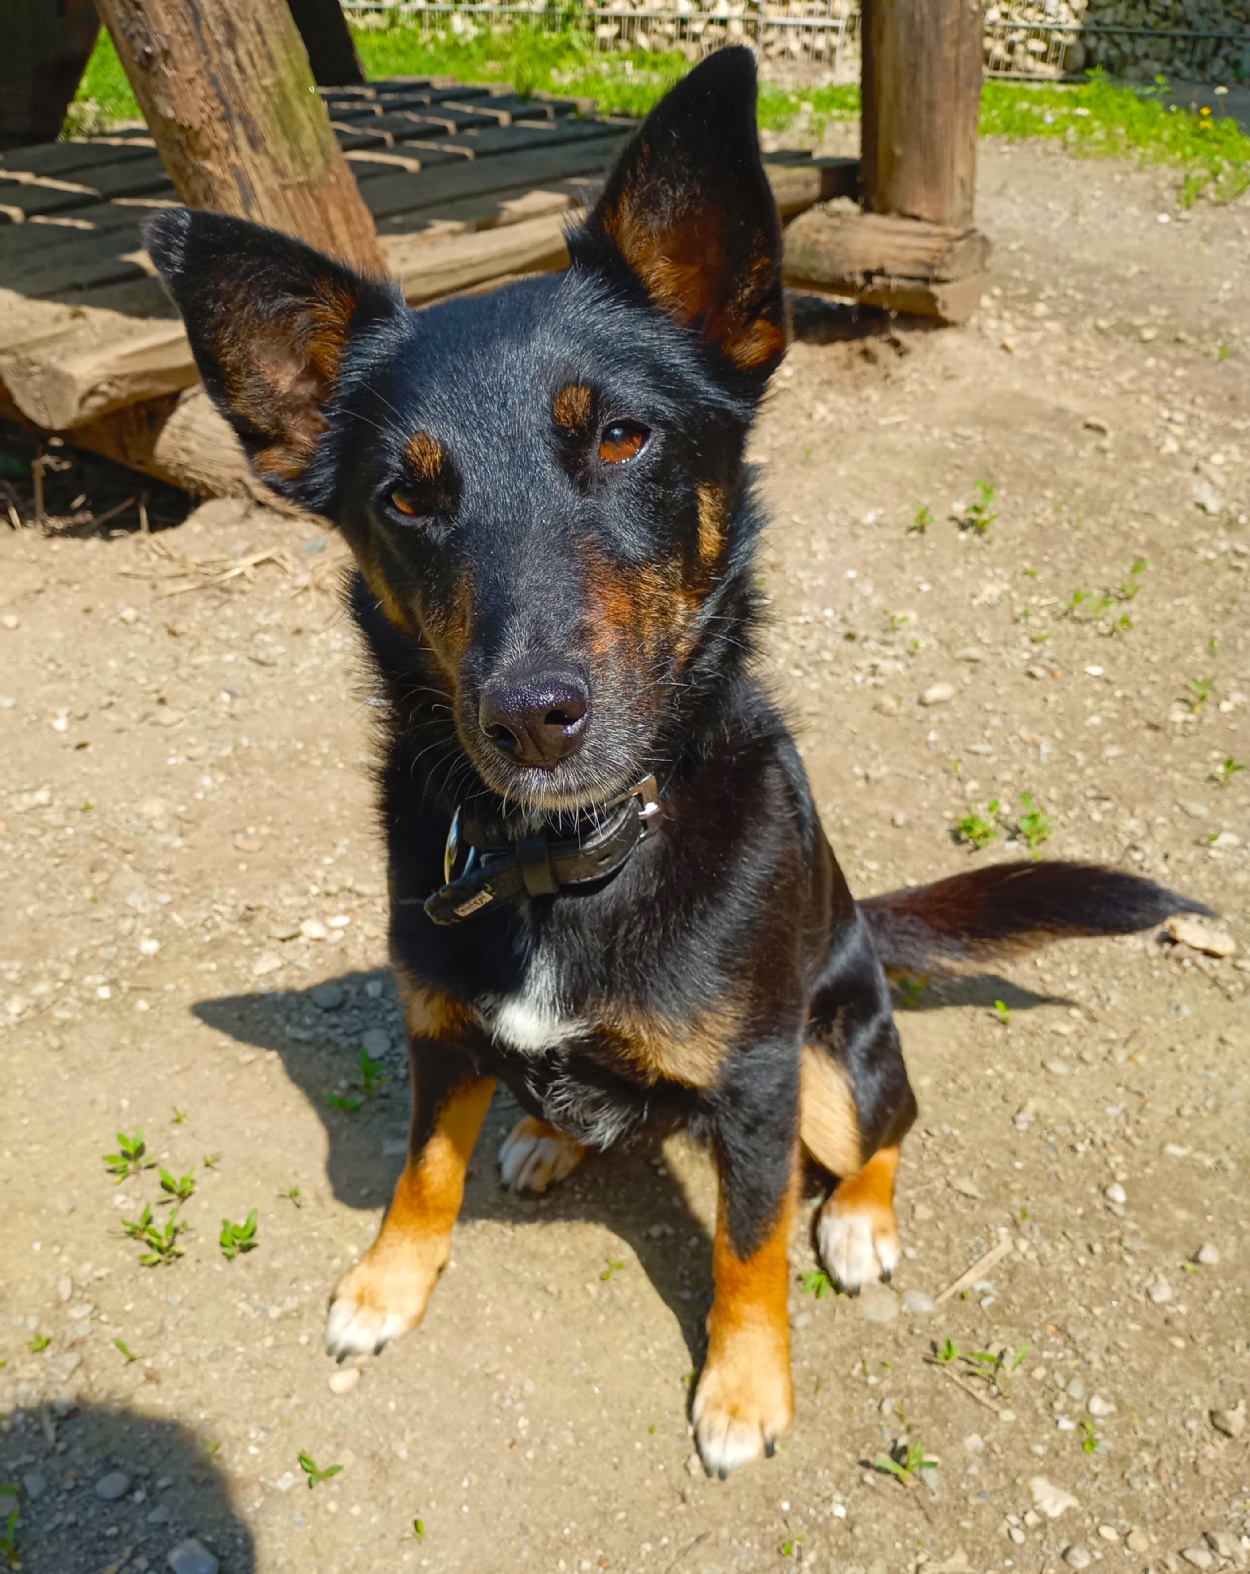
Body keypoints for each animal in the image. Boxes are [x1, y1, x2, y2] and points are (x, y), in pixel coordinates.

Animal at [145, 48, 1209, 1477]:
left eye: (620, 438)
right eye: (403, 495)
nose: (531, 716)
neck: (568, 857)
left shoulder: (756, 1084)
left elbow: (747, 1242)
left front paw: (744, 1387)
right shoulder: (438, 1024)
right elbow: (422, 1167)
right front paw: (386, 1282)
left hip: (833, 1055)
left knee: (883, 1128)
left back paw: (856, 1219)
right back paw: (547, 1132)